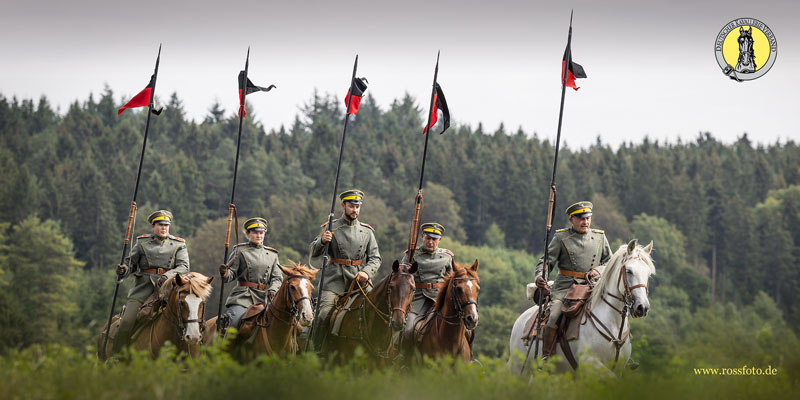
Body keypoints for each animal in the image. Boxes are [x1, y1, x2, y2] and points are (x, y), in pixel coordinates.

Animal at [510, 241, 652, 376]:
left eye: (648, 274)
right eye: (629, 271)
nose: (642, 307)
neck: (613, 325)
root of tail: (521, 319)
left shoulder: (618, 368)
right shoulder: (591, 364)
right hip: (518, 369)